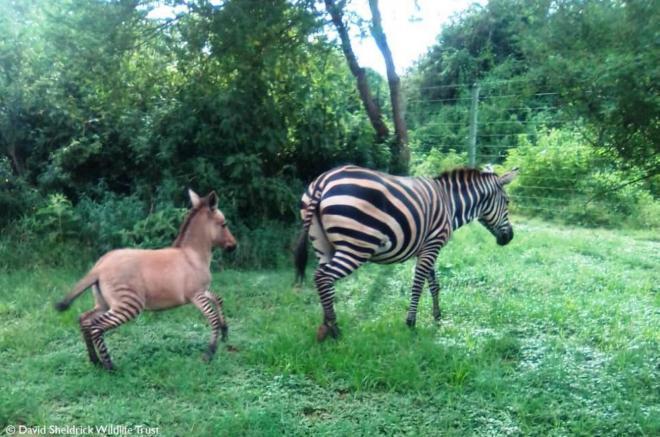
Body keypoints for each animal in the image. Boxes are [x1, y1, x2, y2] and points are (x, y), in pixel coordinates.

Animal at [294, 164, 518, 341]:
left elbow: (434, 284)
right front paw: (411, 322)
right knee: (323, 277)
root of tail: (323, 180)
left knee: (323, 281)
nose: (510, 237)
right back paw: (335, 330)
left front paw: (437, 318)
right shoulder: (432, 245)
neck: (450, 203)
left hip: (323, 245)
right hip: (356, 246)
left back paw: (326, 326)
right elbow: (418, 285)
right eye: (507, 202)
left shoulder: (427, 247)